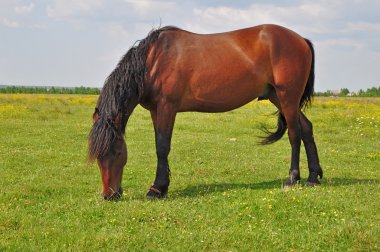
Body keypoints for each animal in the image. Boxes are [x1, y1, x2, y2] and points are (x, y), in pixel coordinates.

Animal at [89, 24, 324, 200]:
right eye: (98, 156)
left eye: (117, 152)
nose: (109, 195)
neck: (153, 61)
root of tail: (301, 39)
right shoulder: (156, 111)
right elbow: (160, 145)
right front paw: (161, 187)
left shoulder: (166, 107)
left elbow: (162, 147)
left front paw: (157, 189)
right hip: (278, 97)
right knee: (306, 128)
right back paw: (313, 177)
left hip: (287, 97)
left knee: (294, 133)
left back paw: (293, 179)